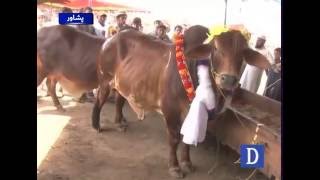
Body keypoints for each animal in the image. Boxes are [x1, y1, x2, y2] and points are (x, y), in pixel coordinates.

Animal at [92, 25, 270, 179]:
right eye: (215, 48)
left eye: (243, 52)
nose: (229, 80)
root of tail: (112, 38)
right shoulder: (170, 110)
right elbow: (174, 139)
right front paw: (175, 167)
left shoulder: (192, 112)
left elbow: (187, 139)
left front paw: (187, 163)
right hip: (105, 80)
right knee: (99, 100)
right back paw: (96, 125)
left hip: (123, 83)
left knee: (120, 100)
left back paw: (119, 122)